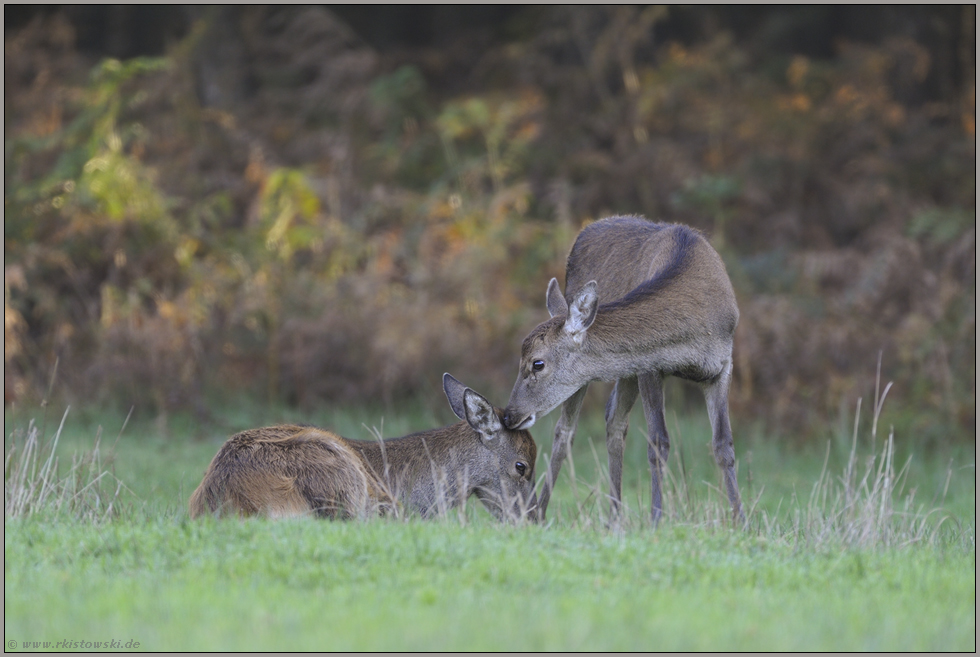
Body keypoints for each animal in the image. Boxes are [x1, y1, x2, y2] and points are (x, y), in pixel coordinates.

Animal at [506, 217, 744, 524]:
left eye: (537, 363)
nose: (509, 415)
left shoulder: (722, 365)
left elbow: (723, 444)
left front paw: (742, 521)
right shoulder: (650, 366)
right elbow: (658, 442)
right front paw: (656, 520)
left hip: (625, 373)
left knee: (614, 420)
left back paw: (614, 518)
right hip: (596, 377)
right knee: (565, 431)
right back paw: (541, 513)